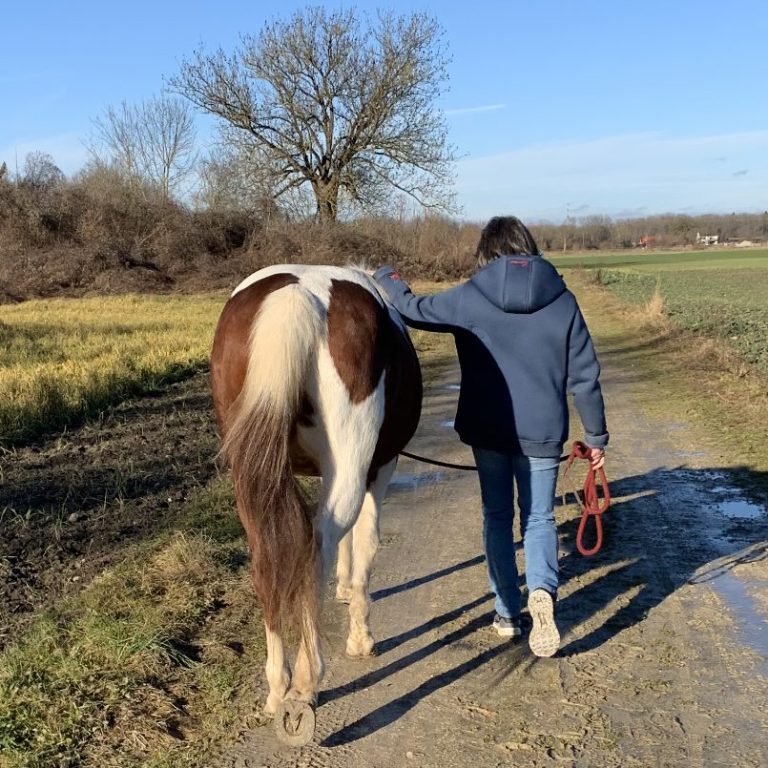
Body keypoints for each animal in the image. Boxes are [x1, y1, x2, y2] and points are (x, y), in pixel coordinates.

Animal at [210, 264, 422, 745]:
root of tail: (296, 294)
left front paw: (341, 590)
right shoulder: (380, 468)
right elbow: (365, 543)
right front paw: (361, 636)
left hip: (251, 475)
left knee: (269, 559)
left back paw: (278, 686)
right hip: (351, 465)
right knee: (317, 544)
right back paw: (306, 682)